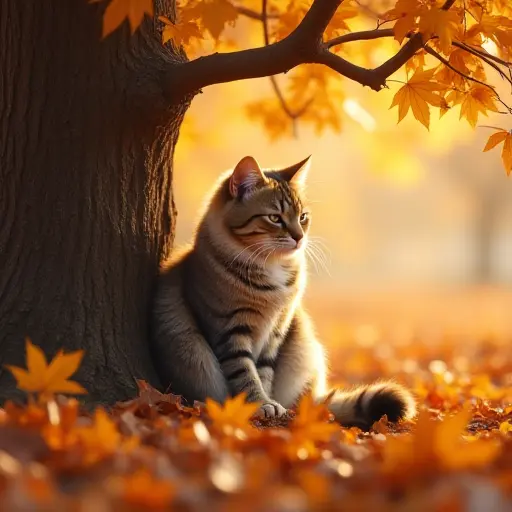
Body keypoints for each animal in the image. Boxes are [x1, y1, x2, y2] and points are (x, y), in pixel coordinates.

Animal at [152, 155, 416, 428]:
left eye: (303, 217)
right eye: (275, 218)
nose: (299, 237)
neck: (271, 270)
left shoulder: (277, 329)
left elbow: (264, 372)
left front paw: (270, 403)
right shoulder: (229, 330)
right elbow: (245, 372)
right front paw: (261, 404)